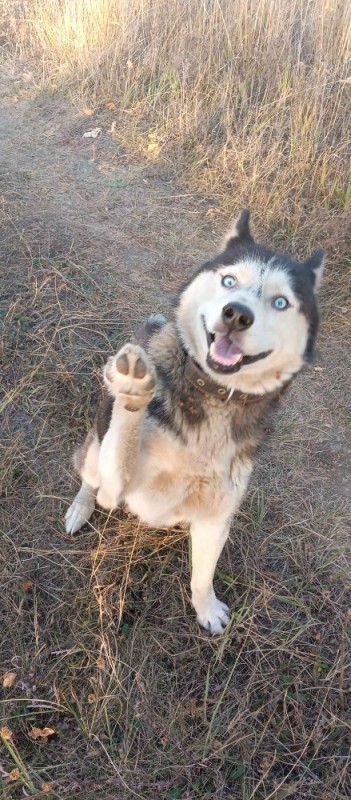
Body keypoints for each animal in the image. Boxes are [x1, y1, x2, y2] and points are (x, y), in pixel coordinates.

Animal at [64, 209, 326, 636]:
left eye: (281, 301)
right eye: (229, 280)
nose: (236, 314)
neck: (212, 398)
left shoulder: (216, 518)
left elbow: (203, 575)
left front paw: (207, 609)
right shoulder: (121, 484)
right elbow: (121, 444)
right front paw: (134, 387)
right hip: (93, 448)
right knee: (90, 477)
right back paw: (79, 509)